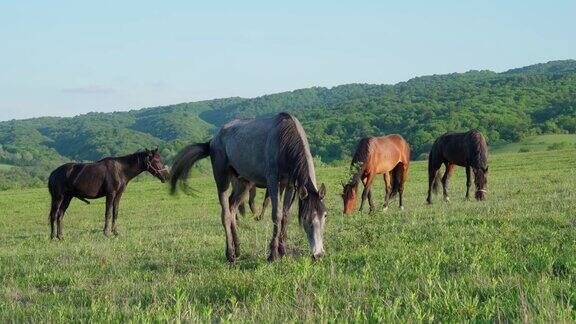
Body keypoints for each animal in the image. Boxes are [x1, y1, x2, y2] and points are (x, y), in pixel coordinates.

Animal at [169, 112, 326, 262]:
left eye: (325, 215)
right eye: (305, 218)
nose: (318, 254)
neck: (284, 139)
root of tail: (213, 141)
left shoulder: (289, 185)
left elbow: (286, 216)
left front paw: (283, 251)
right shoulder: (273, 181)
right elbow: (277, 214)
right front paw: (273, 254)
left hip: (243, 183)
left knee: (232, 208)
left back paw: (237, 249)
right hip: (222, 179)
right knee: (225, 214)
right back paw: (230, 254)